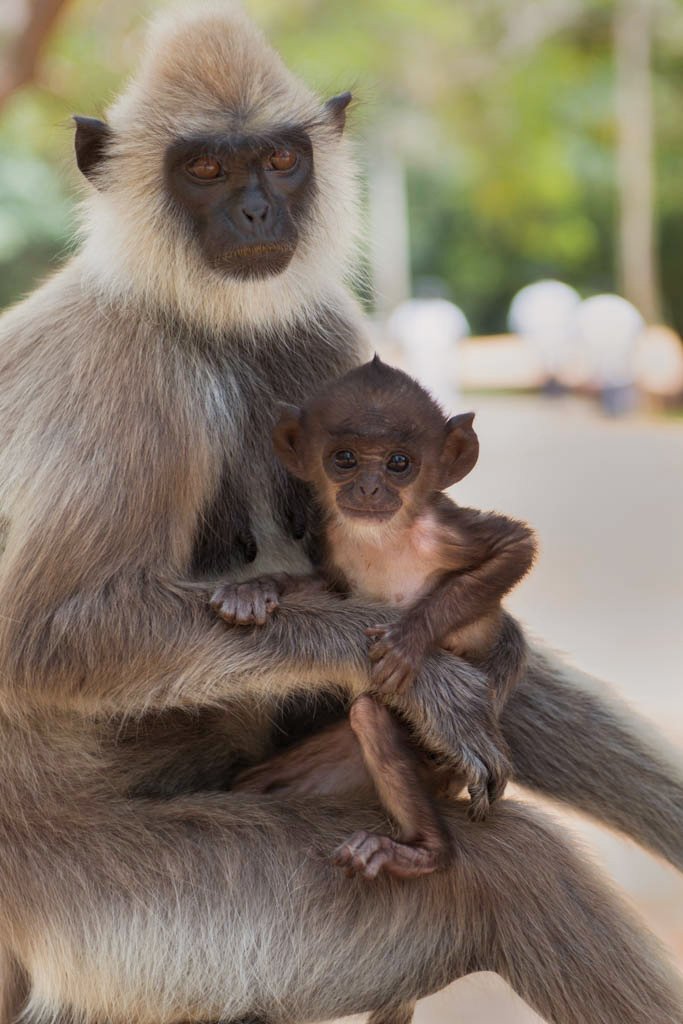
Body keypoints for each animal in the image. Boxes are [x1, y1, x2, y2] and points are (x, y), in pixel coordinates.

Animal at [214, 356, 536, 877]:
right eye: (344, 458)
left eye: (398, 463)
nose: (368, 487)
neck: (382, 537)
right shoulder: (332, 537)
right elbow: (331, 588)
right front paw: (254, 589)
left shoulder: (443, 528)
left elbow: (514, 547)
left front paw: (409, 641)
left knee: (370, 715)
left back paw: (423, 851)